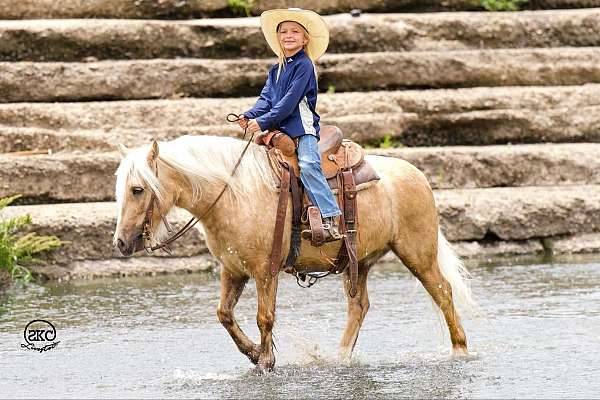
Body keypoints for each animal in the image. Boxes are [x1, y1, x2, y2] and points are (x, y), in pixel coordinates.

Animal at [115, 134, 476, 372]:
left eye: (138, 189)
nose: (120, 242)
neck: (234, 194)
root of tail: (416, 174)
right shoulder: (232, 270)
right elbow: (224, 314)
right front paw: (252, 353)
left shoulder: (265, 270)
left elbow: (264, 317)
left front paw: (265, 361)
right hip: (358, 262)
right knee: (359, 306)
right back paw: (340, 357)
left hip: (418, 252)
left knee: (443, 292)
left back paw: (460, 350)